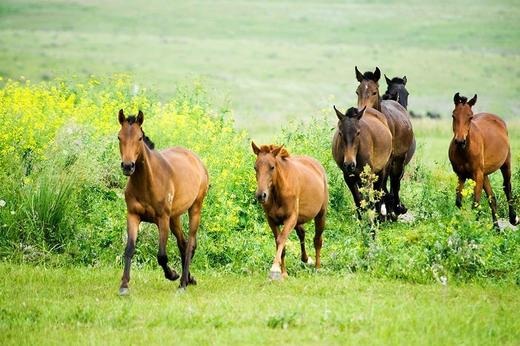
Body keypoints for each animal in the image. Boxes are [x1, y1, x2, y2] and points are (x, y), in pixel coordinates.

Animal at [117, 109, 208, 294]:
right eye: (119, 137)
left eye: (139, 138)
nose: (128, 166)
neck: (147, 181)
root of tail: (197, 161)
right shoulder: (133, 216)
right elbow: (129, 249)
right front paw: (124, 286)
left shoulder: (162, 219)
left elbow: (161, 255)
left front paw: (172, 274)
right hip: (175, 217)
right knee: (183, 244)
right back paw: (189, 279)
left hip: (194, 209)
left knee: (189, 244)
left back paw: (182, 284)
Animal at [250, 142, 328, 280]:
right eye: (255, 167)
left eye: (272, 167)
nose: (261, 195)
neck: (278, 193)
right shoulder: (272, 221)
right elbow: (280, 243)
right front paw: (283, 273)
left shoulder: (290, 218)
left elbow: (281, 240)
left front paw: (275, 269)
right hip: (299, 219)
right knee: (302, 233)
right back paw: (305, 259)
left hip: (320, 215)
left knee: (317, 240)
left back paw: (317, 267)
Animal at [448, 93, 516, 228]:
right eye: (453, 115)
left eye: (470, 117)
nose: (460, 141)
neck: (465, 151)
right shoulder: (461, 175)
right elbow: (459, 201)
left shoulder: (477, 175)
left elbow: (476, 204)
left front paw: (474, 227)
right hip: (484, 174)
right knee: (492, 198)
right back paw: (496, 228)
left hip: (505, 165)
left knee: (507, 187)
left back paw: (513, 218)